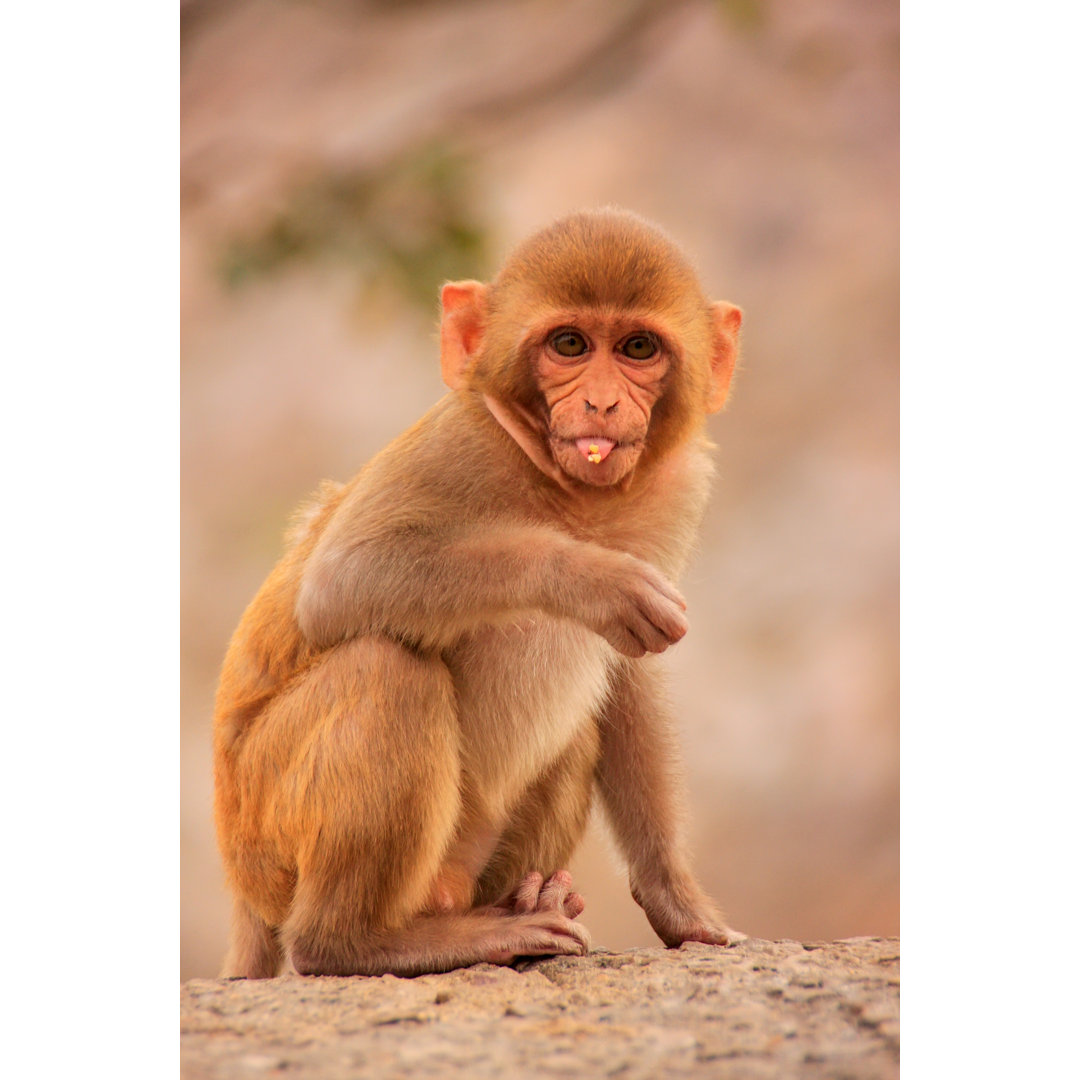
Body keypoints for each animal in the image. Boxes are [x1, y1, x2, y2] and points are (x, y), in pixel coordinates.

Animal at [214, 204, 747, 980]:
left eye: (638, 348)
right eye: (569, 344)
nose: (602, 402)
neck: (564, 493)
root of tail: (241, 893)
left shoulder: (675, 489)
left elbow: (626, 677)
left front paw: (679, 904)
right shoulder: (457, 446)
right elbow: (342, 579)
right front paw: (588, 576)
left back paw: (523, 906)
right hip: (266, 833)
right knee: (387, 668)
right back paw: (360, 941)